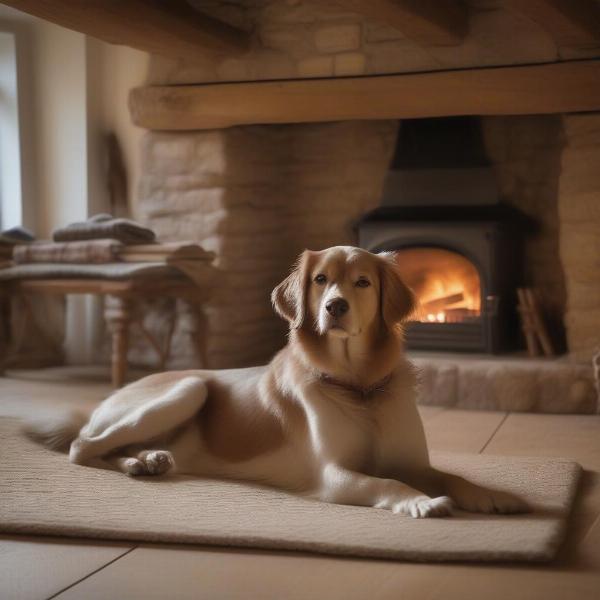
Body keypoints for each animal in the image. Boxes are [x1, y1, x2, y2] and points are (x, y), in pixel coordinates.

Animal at [25, 246, 528, 516]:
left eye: (363, 282)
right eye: (320, 280)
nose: (335, 307)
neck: (359, 386)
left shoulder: (412, 460)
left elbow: (451, 474)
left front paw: (491, 495)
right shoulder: (334, 474)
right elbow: (389, 484)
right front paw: (422, 502)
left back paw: (146, 460)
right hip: (190, 387)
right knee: (83, 447)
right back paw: (134, 459)